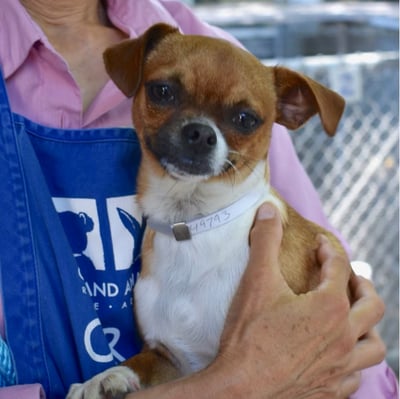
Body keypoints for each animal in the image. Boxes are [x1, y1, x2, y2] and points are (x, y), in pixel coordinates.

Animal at [67, 23, 348, 398]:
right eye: (163, 91)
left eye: (245, 119)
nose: (200, 132)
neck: (191, 224)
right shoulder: (168, 358)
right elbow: (139, 361)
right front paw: (104, 377)